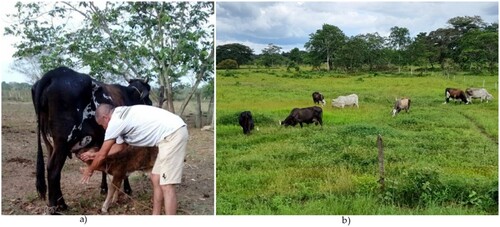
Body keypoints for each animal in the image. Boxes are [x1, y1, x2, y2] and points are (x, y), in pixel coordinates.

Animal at [31, 66, 152, 214]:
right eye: (147, 93)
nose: (151, 103)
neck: (128, 95)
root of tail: (54, 73)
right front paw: (127, 189)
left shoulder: (102, 139)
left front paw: (103, 188)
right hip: (63, 142)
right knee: (53, 170)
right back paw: (56, 208)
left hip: (50, 143)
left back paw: (61, 204)